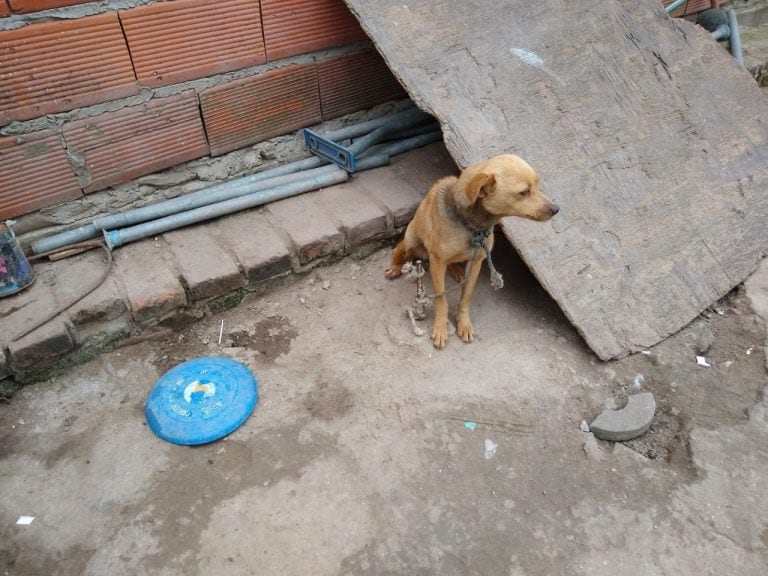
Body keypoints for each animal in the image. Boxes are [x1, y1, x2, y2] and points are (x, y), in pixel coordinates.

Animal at [384, 153, 560, 348]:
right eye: (524, 192)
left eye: (537, 184)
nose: (556, 209)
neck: (472, 226)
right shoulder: (437, 262)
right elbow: (441, 299)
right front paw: (441, 327)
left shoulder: (477, 261)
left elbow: (466, 297)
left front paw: (464, 324)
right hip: (411, 242)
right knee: (399, 252)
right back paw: (395, 268)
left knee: (454, 263)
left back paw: (458, 271)